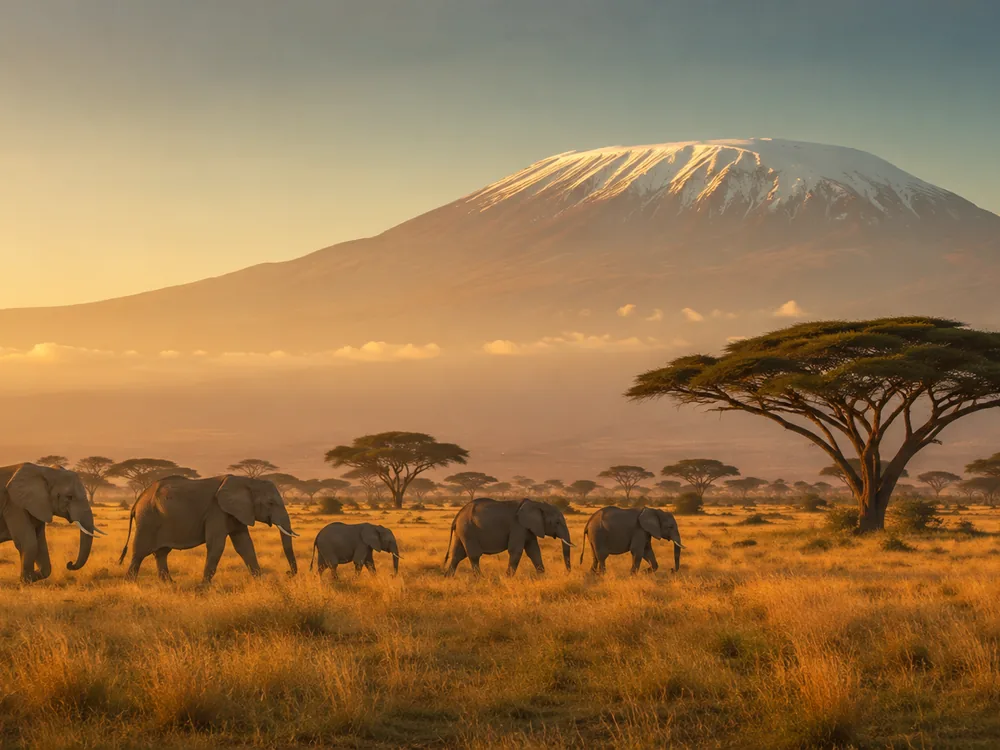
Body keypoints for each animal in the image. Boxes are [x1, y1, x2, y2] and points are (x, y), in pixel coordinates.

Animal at [118, 474, 298, 585]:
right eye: (271, 503)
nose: (288, 574)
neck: (248, 481)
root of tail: (138, 499)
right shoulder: (216, 510)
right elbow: (216, 545)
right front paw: (202, 589)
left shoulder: (237, 512)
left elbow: (245, 546)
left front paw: (260, 582)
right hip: (147, 519)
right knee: (140, 552)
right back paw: (130, 584)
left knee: (161, 553)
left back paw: (170, 584)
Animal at [444, 497, 573, 576]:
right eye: (557, 522)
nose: (567, 573)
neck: (537, 503)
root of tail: (458, 515)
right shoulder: (518, 526)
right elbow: (516, 551)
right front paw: (508, 578)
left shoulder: (528, 528)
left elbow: (534, 551)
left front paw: (542, 577)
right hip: (468, 530)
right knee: (474, 555)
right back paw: (480, 579)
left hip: (462, 531)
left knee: (457, 555)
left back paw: (448, 578)